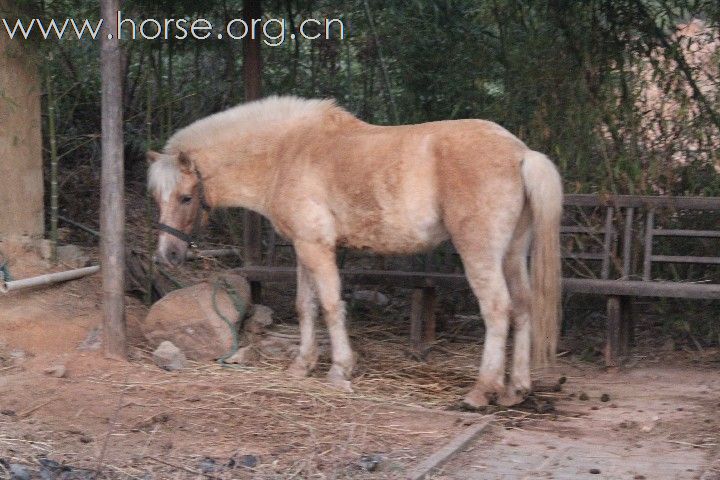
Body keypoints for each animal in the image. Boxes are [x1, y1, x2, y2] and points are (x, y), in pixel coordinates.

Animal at [148, 95, 564, 406]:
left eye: (186, 197)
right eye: (156, 197)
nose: (168, 255)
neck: (286, 152)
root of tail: (522, 153)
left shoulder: (317, 248)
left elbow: (332, 306)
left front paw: (339, 370)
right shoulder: (303, 248)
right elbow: (306, 306)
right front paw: (302, 366)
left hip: (480, 253)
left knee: (497, 310)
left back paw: (481, 391)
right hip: (512, 255)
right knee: (523, 307)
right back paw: (515, 389)